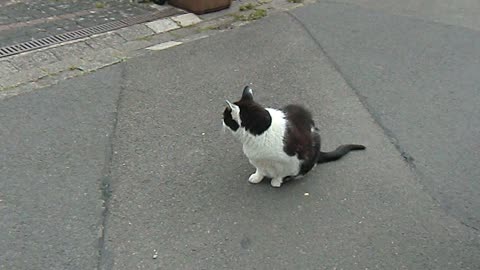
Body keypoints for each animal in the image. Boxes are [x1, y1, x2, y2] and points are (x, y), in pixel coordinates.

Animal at [223, 86, 366, 188]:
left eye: (225, 117)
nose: (221, 121)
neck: (262, 133)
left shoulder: (292, 160)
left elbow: (283, 172)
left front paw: (276, 181)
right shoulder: (256, 160)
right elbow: (260, 169)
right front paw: (257, 177)